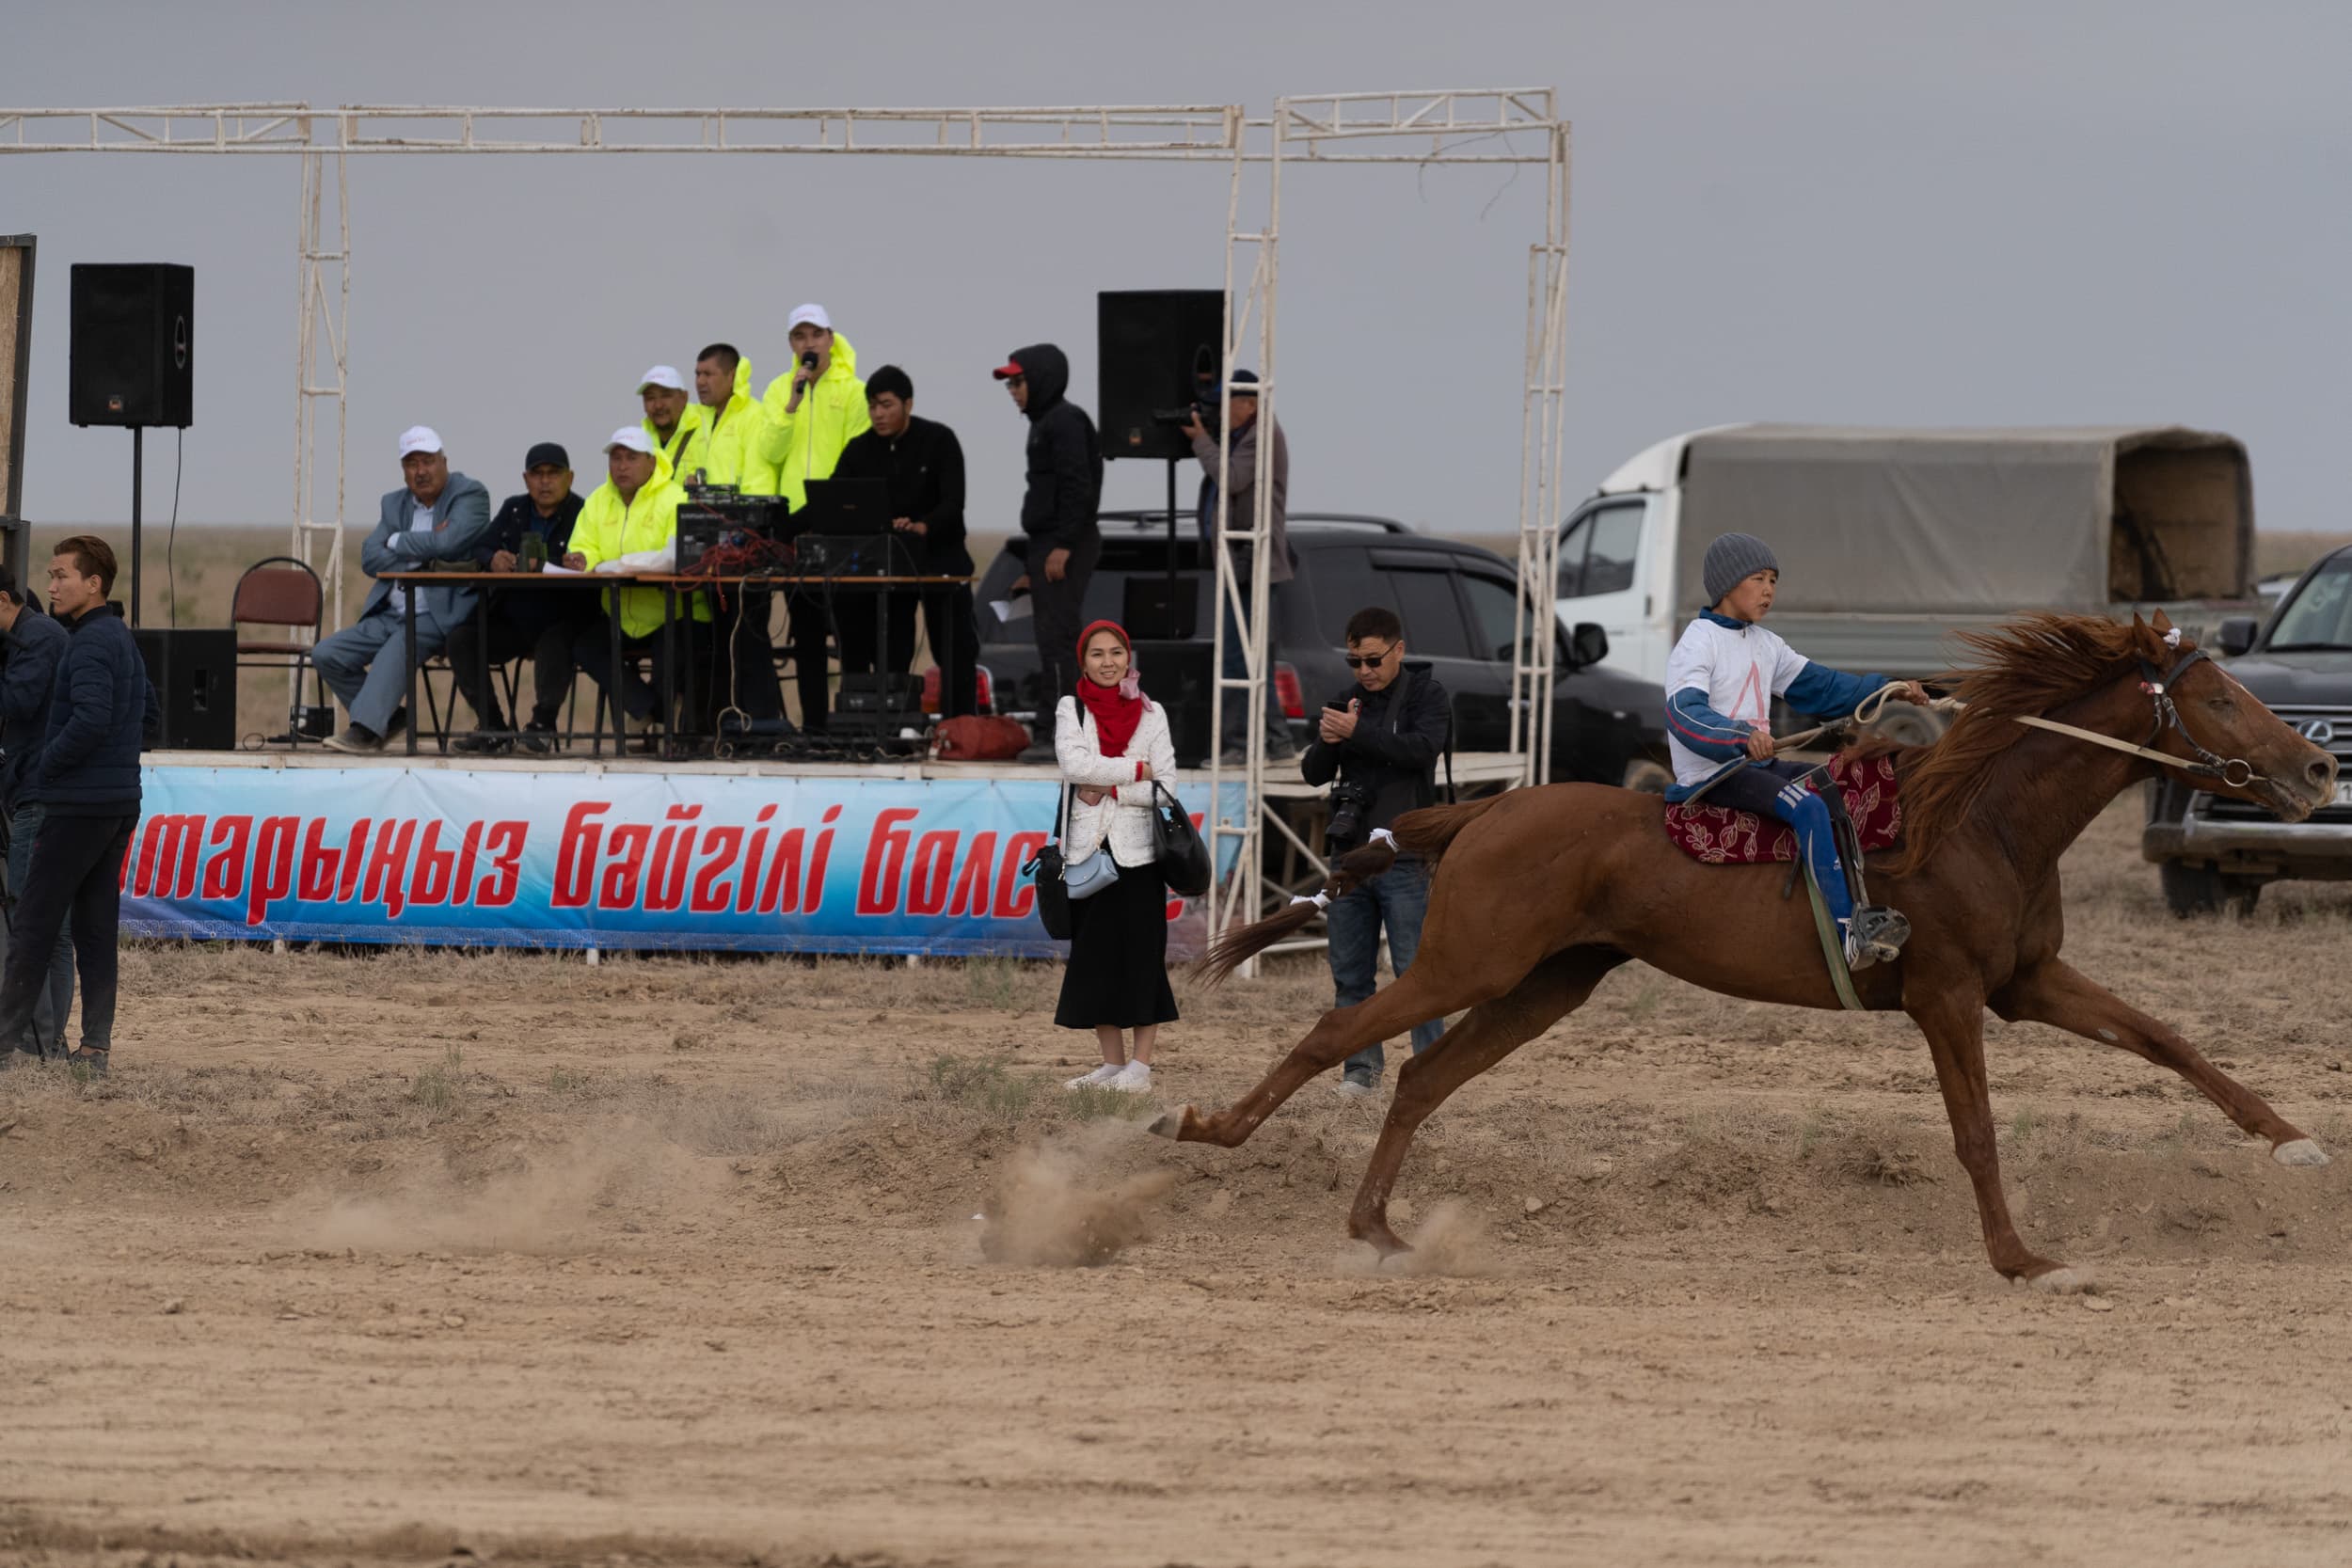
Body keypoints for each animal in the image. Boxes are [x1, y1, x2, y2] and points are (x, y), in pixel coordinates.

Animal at [1167, 610, 2343, 1288]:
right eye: (2218, 694)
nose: (2316, 768)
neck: (1976, 817)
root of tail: (1483, 809)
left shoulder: (2025, 979)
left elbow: (2165, 1039)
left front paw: (2291, 1139)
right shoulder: (1947, 993)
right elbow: (1975, 1132)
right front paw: (2021, 1258)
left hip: (1546, 982)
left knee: (1420, 1075)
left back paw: (1380, 1229)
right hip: (1470, 961)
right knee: (1337, 1031)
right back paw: (1206, 1126)